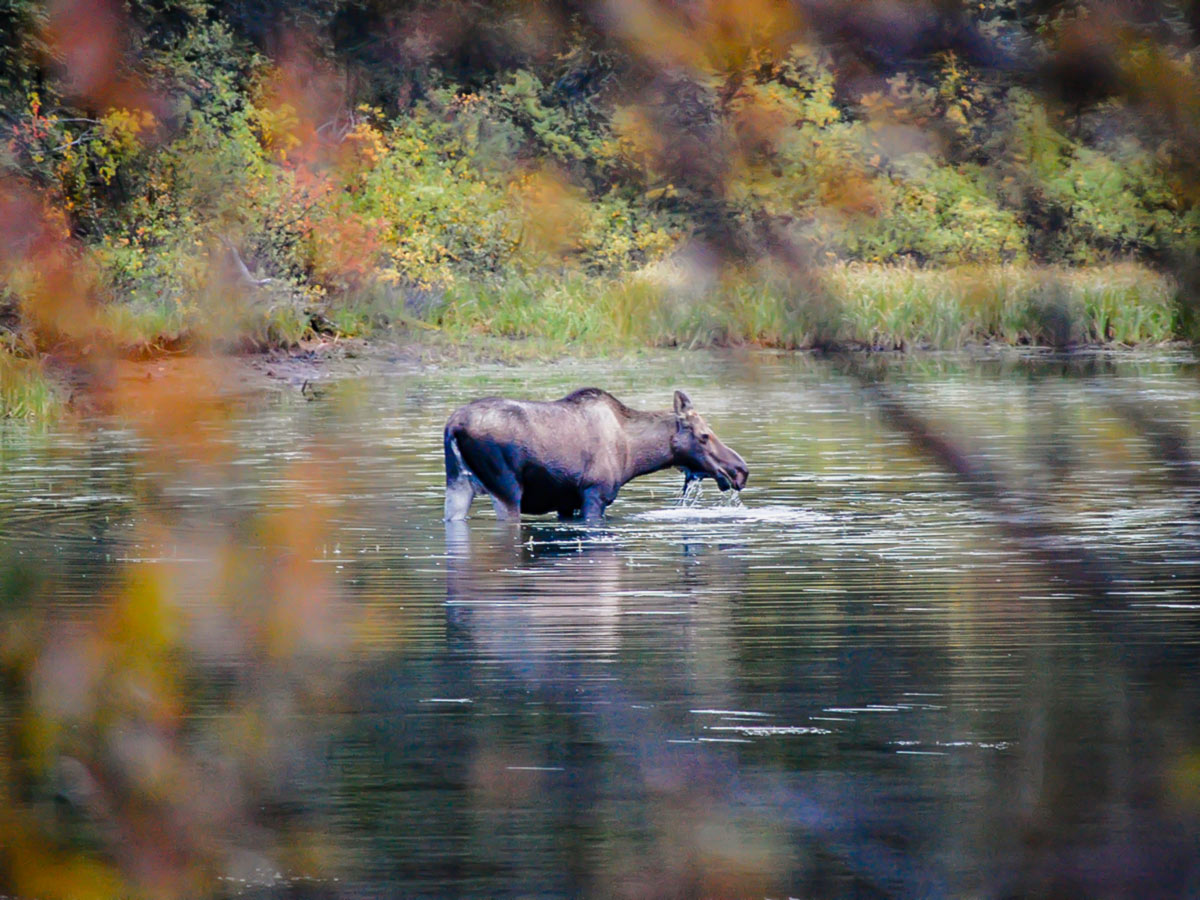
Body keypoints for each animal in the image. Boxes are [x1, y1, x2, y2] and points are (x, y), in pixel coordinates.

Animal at [446, 388, 748, 520]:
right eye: (704, 435)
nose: (740, 470)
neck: (634, 456)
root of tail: (454, 426)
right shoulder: (595, 494)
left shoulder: (566, 503)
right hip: (506, 490)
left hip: (458, 485)